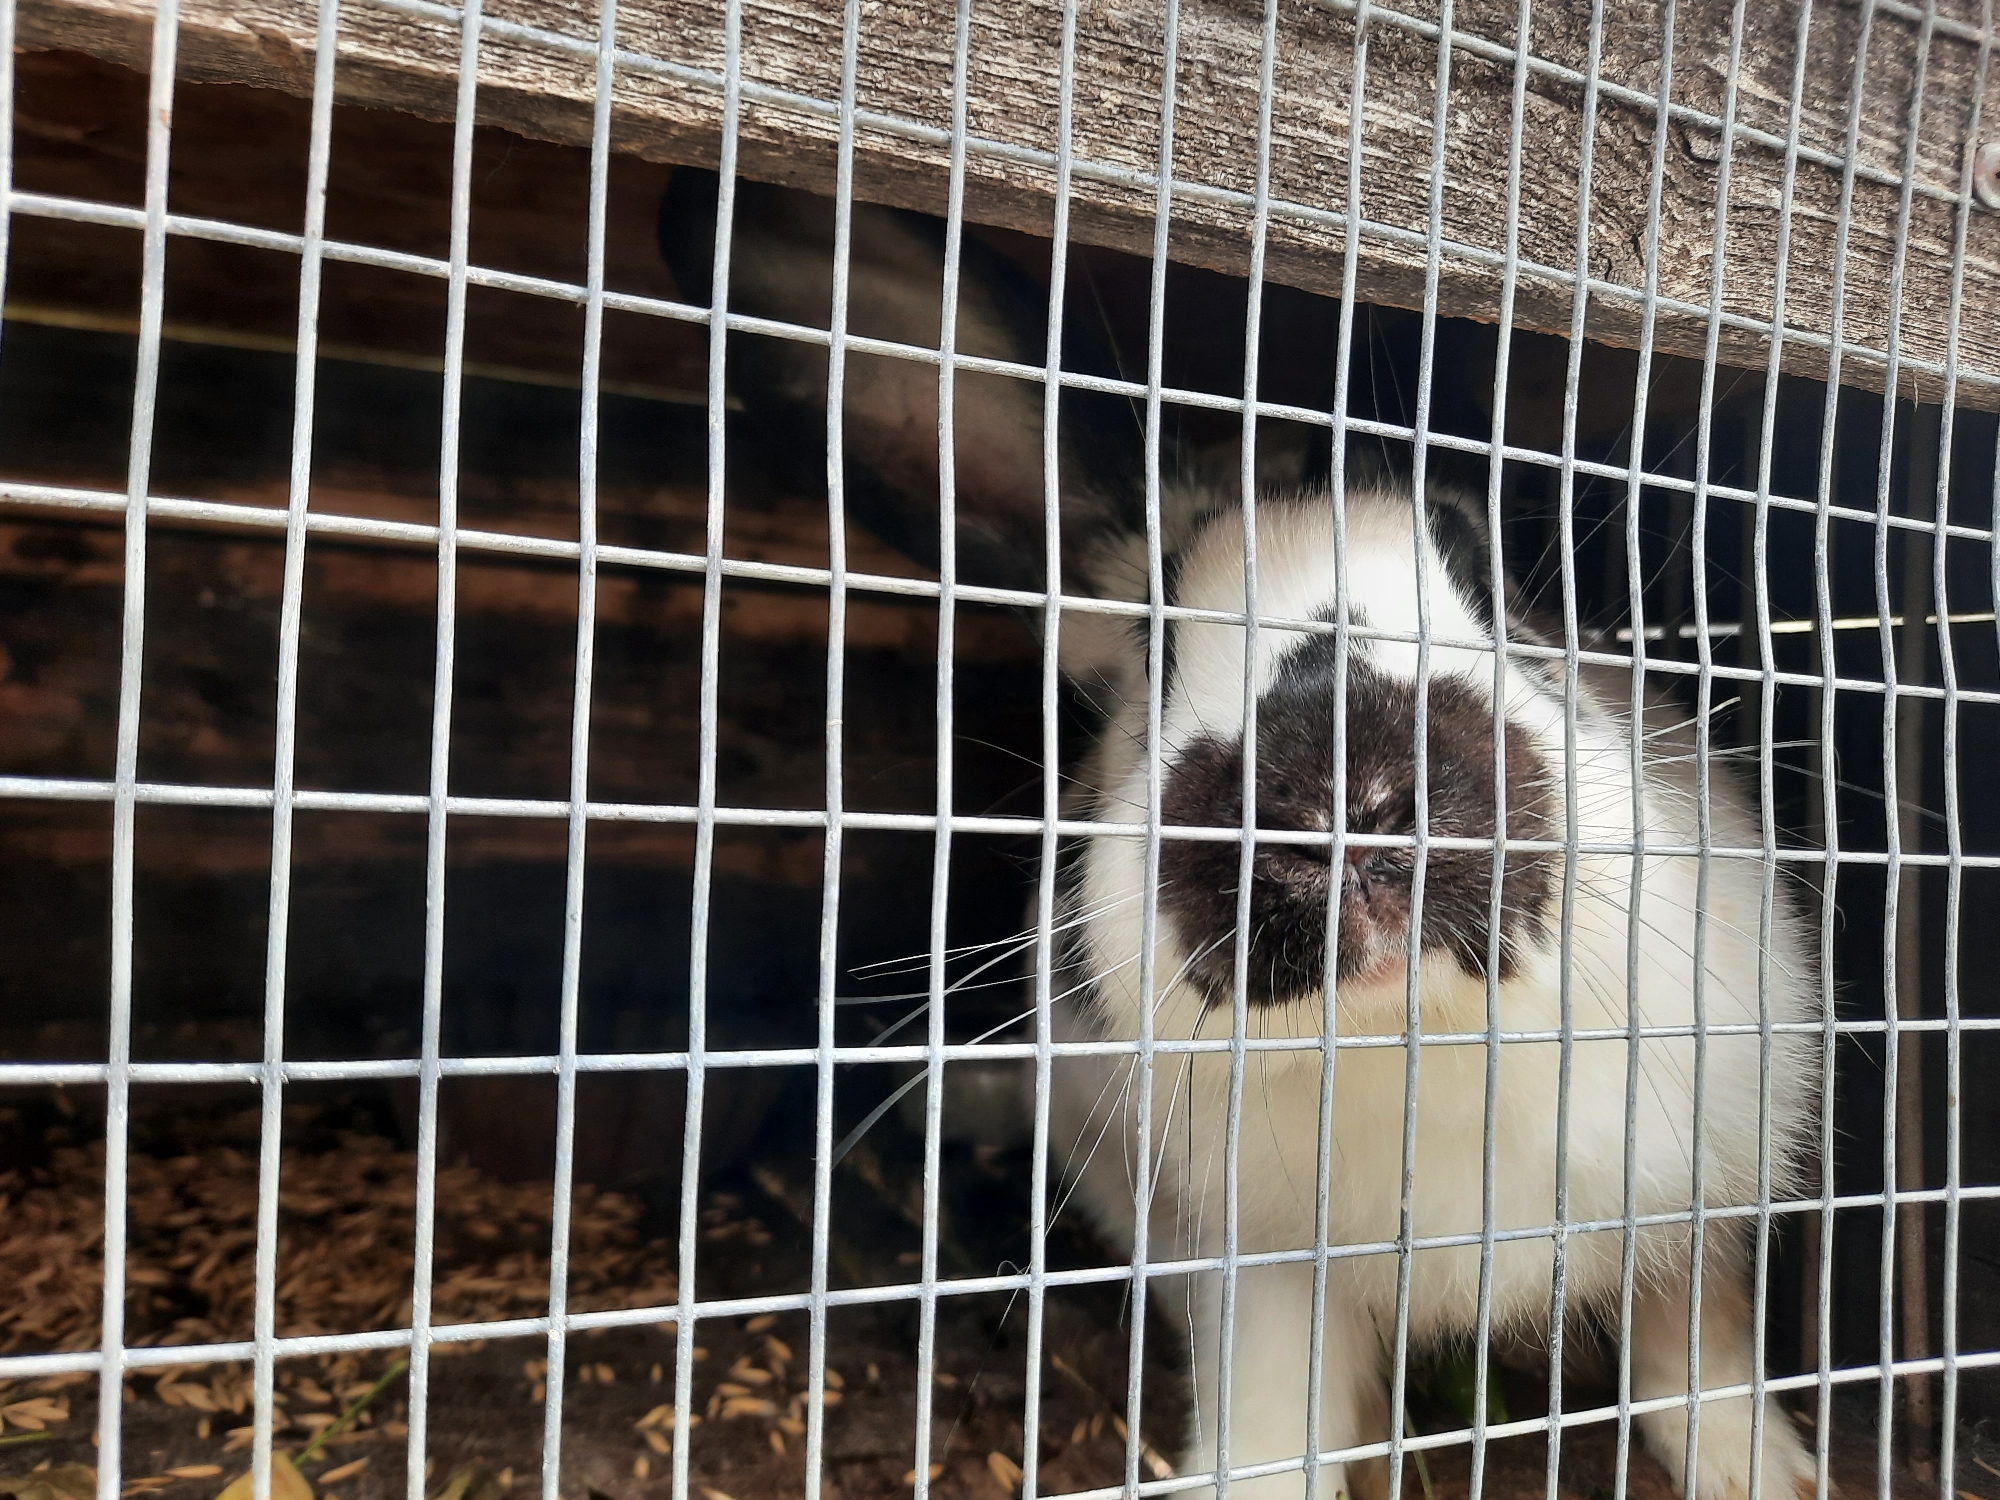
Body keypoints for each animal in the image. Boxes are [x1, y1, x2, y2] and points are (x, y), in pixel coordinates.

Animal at [659, 169, 1821, 1500]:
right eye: (1156, 634)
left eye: (1488, 581)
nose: (1340, 786)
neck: (1405, 1039)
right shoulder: (1249, 1274)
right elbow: (1273, 1421)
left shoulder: (1694, 1207)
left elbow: (1697, 1348)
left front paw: (1765, 1471)